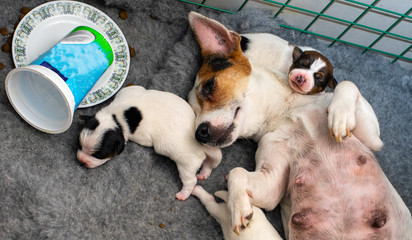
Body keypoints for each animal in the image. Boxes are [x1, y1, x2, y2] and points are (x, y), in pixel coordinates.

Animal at [76, 86, 222, 201]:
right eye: (79, 145)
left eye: (99, 156)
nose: (81, 161)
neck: (115, 118)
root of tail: (199, 144)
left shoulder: (141, 135)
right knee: (210, 163)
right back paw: (204, 173)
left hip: (186, 163)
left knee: (190, 180)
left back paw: (183, 194)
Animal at [187, 12, 412, 240]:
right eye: (193, 112)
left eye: (209, 86)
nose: (199, 133)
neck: (286, 112)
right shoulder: (270, 187)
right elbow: (237, 172)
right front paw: (238, 207)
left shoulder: (373, 139)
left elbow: (346, 84)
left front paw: (339, 117)